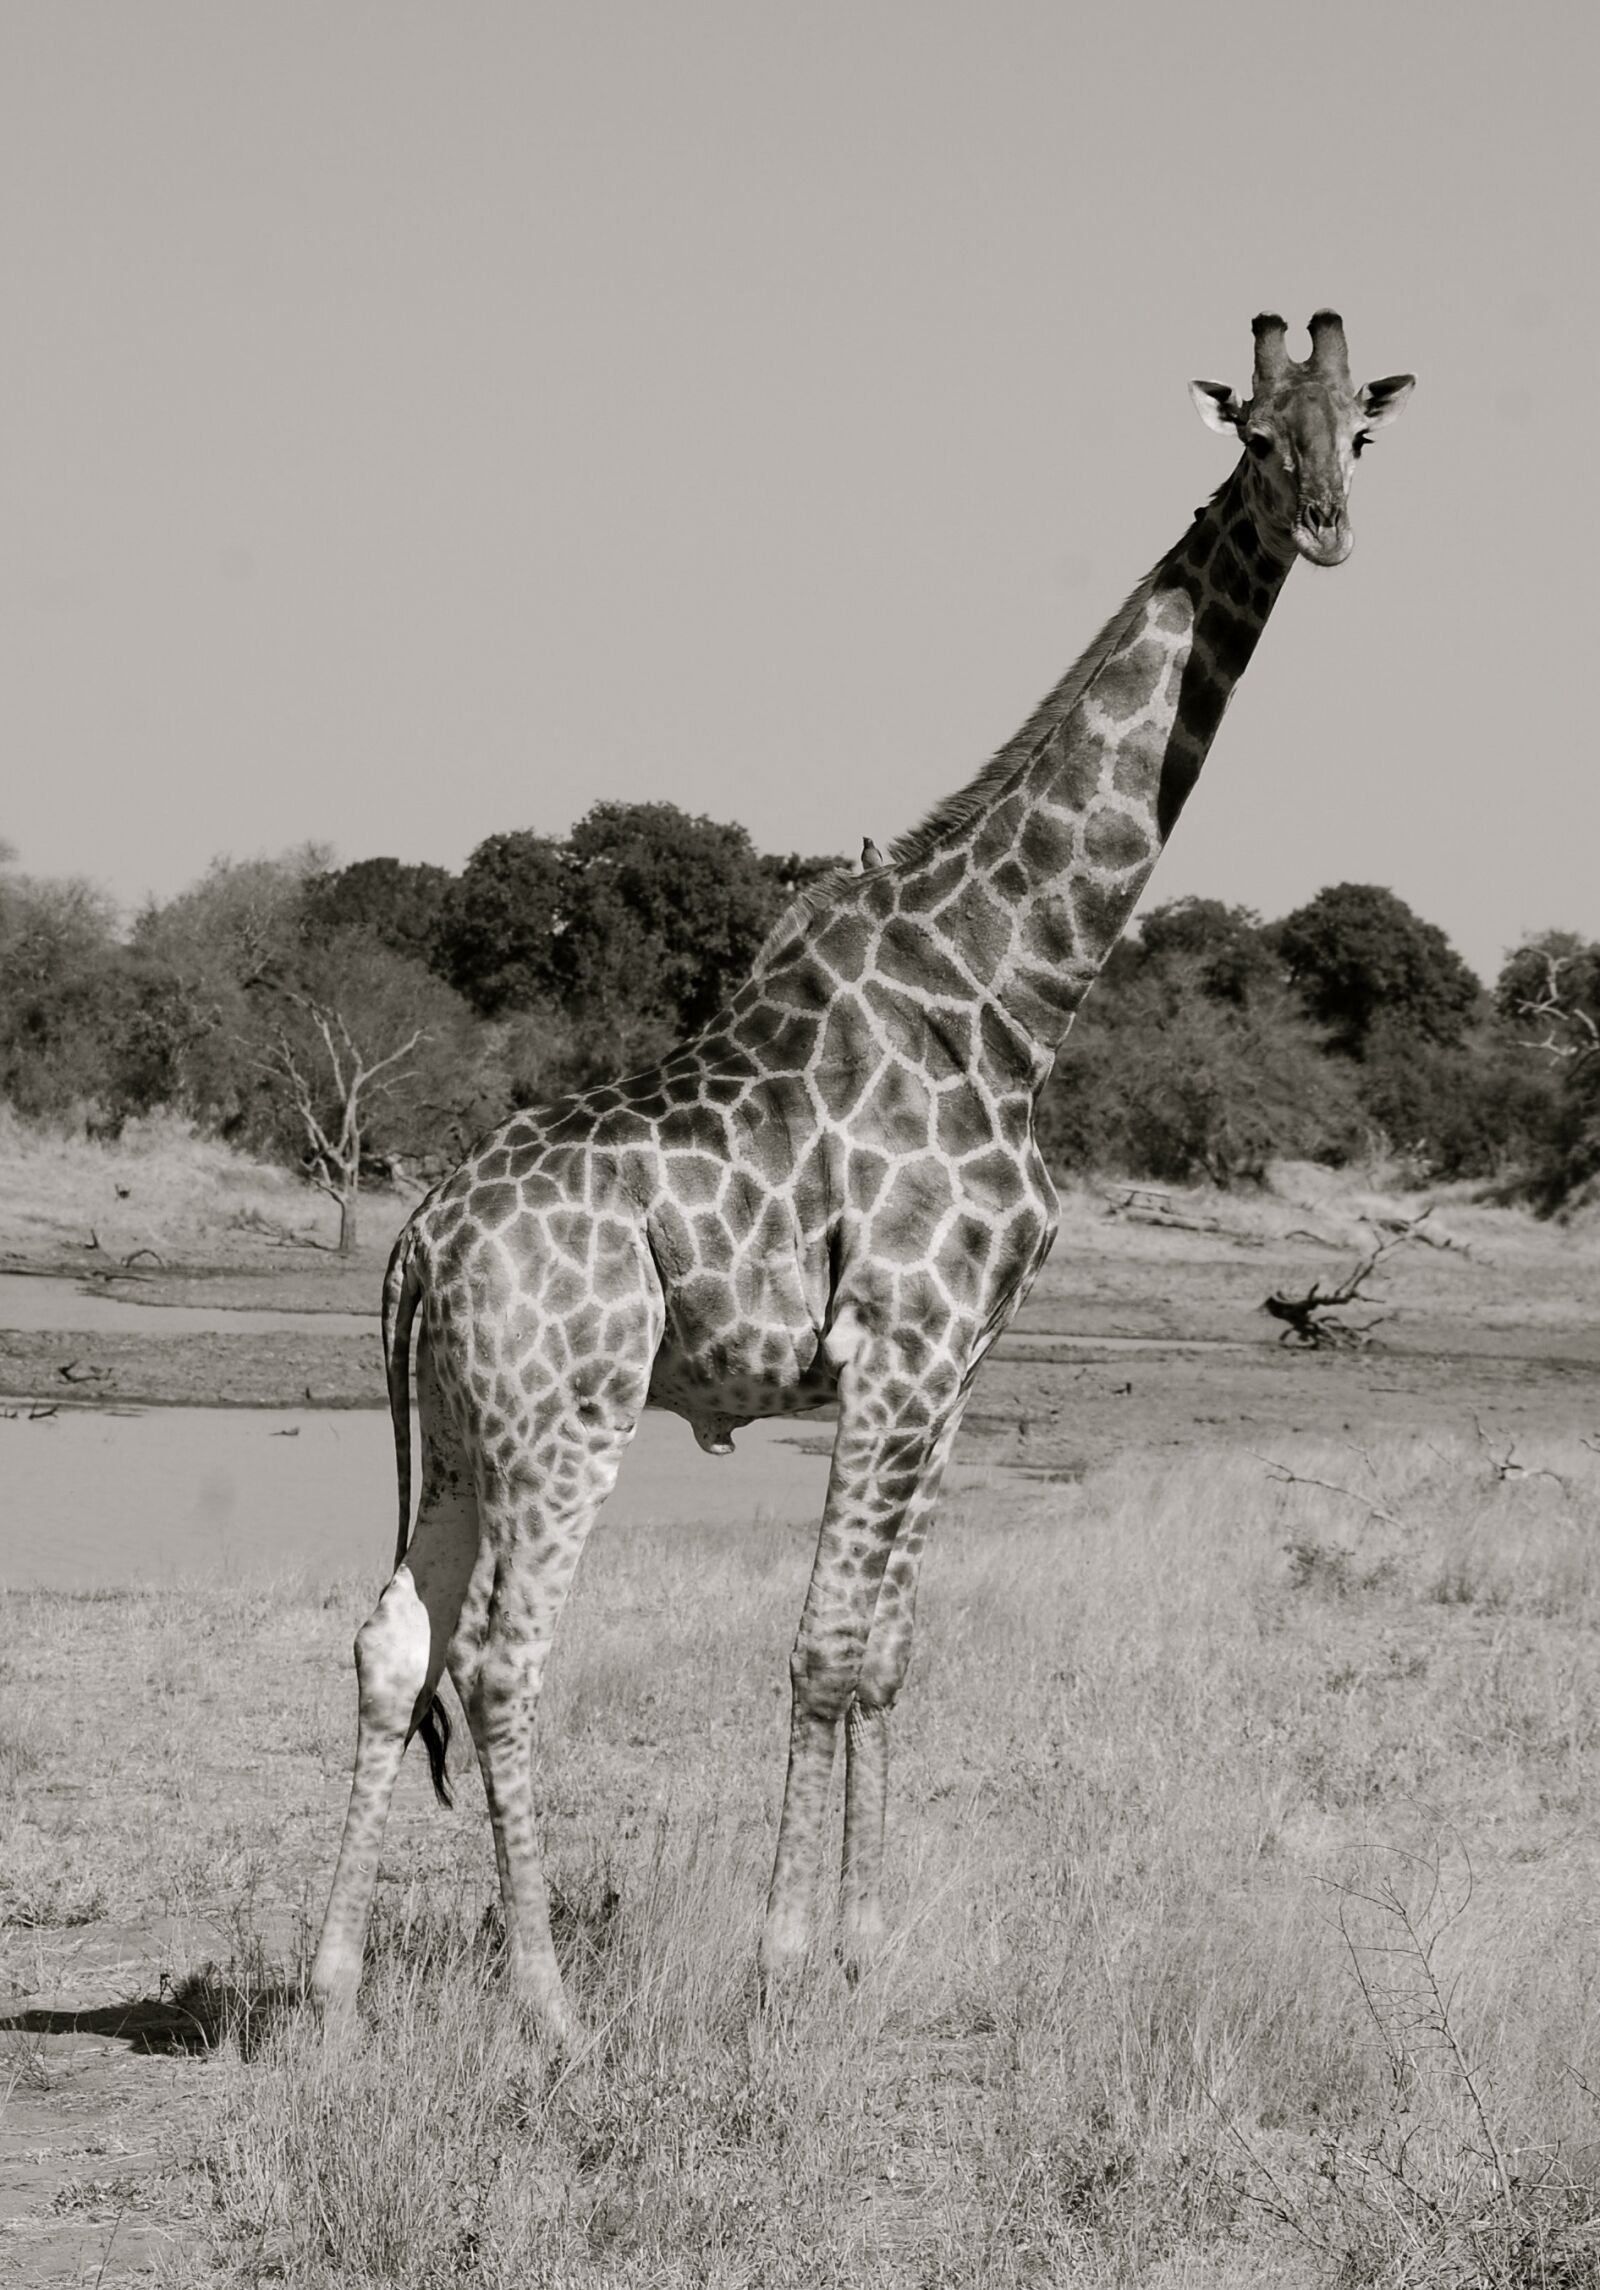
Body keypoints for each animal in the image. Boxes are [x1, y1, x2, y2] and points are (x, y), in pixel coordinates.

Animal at [310, 312, 1413, 2037]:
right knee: (499, 1653)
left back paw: (334, 1991)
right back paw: (550, 2009)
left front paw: (868, 1945)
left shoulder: (956, 1363)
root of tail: (422, 1234)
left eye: (1357, 432)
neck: (1014, 984)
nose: (1325, 526)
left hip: (463, 1424)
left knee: (394, 1639)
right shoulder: (899, 1340)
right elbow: (824, 1644)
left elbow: (889, 1646)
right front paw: (780, 1959)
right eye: (1252, 433)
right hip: (571, 1411)